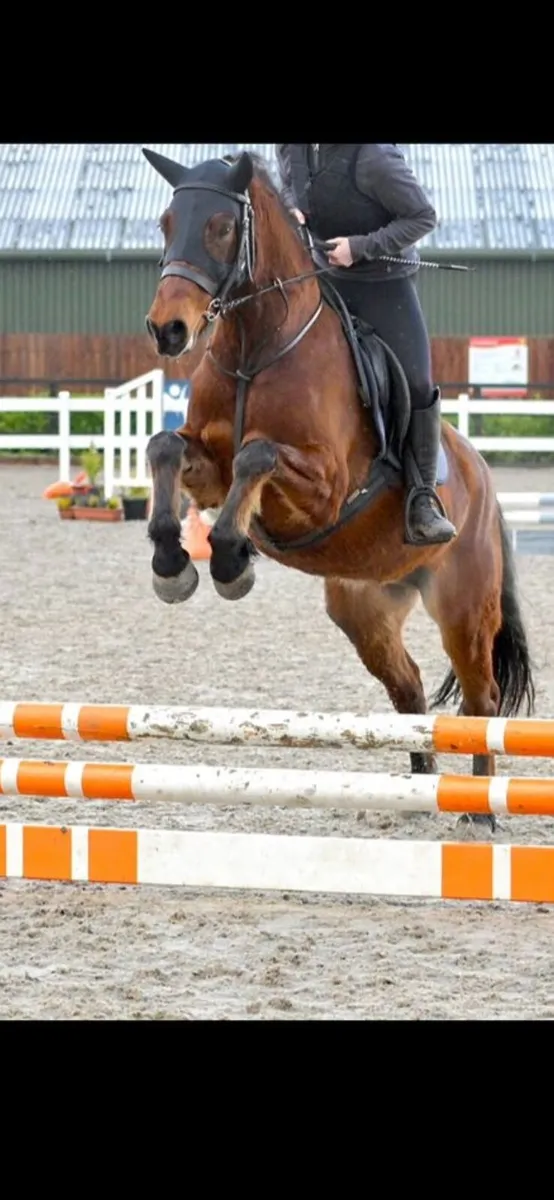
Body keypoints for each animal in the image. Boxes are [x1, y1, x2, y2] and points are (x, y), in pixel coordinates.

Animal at [141, 146, 536, 834]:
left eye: (221, 226)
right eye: (166, 223)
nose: (167, 330)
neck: (257, 346)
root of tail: (484, 479)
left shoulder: (323, 488)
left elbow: (258, 454)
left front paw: (231, 559)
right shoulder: (207, 464)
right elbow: (166, 446)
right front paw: (173, 562)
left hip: (464, 604)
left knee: (482, 697)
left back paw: (479, 813)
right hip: (365, 608)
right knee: (407, 686)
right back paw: (420, 789)